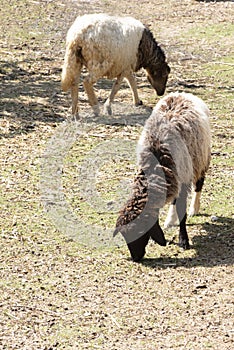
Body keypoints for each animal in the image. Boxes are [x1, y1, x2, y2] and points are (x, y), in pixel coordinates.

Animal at [114, 91, 212, 262]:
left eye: (140, 231)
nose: (136, 258)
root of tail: (182, 93)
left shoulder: (184, 178)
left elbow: (182, 210)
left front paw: (184, 240)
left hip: (201, 158)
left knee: (199, 185)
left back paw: (194, 208)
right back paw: (170, 220)